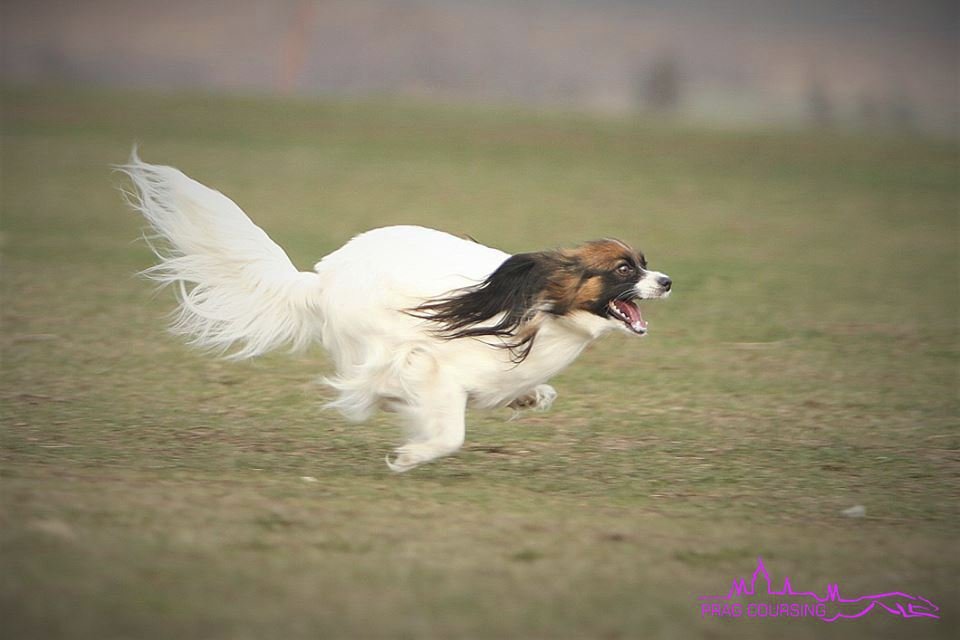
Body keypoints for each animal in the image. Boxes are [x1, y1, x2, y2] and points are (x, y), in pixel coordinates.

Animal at [120, 154, 672, 470]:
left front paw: (528, 395)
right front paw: (412, 455)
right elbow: (450, 433)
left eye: (645, 263)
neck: (541, 309)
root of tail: (321, 276)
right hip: (375, 339)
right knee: (370, 383)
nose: (667, 281)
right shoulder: (432, 366)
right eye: (624, 269)